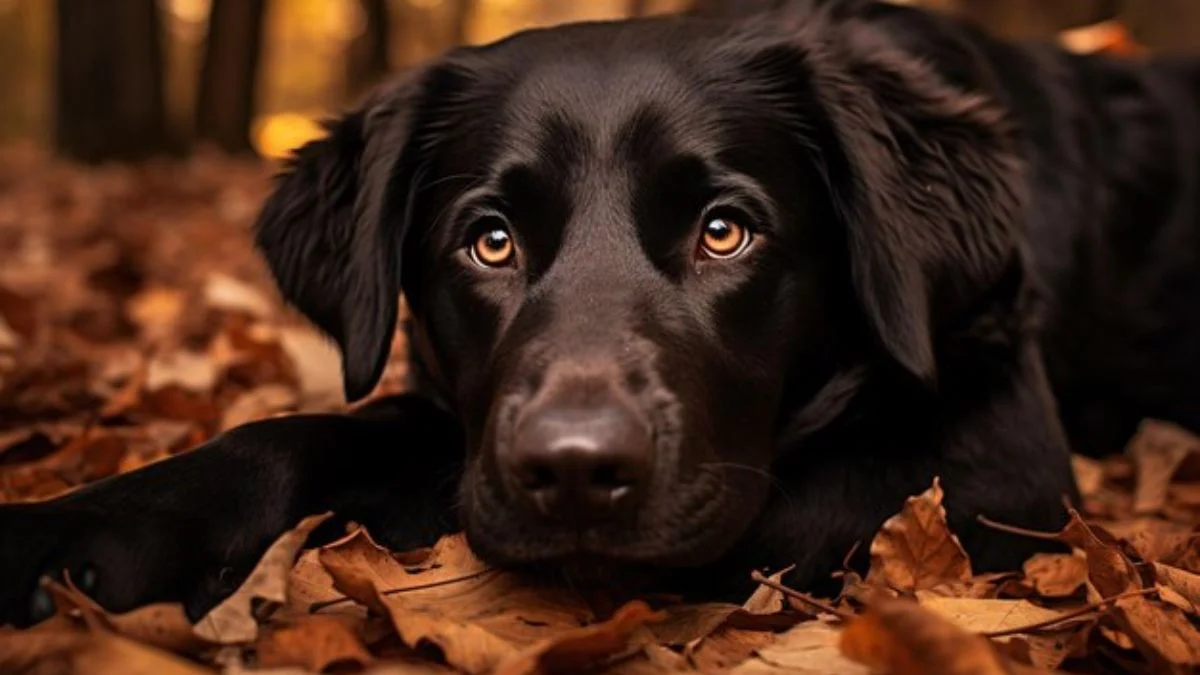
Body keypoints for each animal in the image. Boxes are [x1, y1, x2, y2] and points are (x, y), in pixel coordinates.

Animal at [2, 0, 1200, 624]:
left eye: (725, 231)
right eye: (490, 240)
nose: (574, 471)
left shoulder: (997, 462)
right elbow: (310, 435)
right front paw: (69, 534)